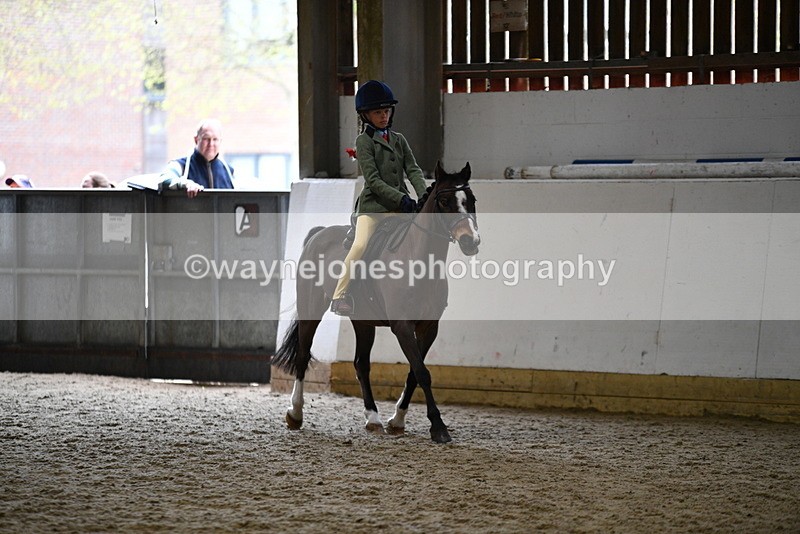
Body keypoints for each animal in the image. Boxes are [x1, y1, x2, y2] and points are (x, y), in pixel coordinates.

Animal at [272, 162, 480, 443]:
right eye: (445, 201)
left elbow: (414, 373)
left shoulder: (429, 327)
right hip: (311, 309)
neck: (418, 261)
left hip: (363, 321)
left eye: (471, 200)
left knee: (361, 365)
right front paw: (438, 426)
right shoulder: (402, 326)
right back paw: (295, 413)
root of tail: (319, 233)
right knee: (303, 355)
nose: (471, 241)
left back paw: (373, 418)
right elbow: (422, 372)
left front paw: (397, 421)